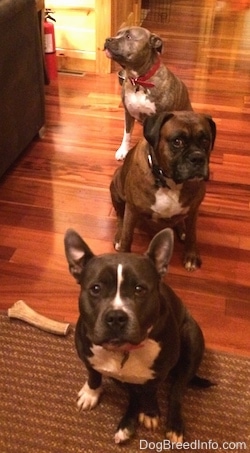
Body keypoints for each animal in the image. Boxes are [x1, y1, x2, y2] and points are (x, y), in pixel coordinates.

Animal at [64, 228, 211, 444]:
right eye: (96, 288)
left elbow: (150, 393)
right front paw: (91, 393)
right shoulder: (87, 357)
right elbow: (94, 375)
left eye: (139, 289)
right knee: (134, 394)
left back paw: (173, 426)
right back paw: (126, 426)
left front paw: (150, 412)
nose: (116, 317)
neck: (123, 350)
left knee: (177, 390)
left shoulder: (158, 374)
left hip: (192, 339)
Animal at [103, 26, 191, 160]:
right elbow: (127, 134)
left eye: (128, 37)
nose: (108, 39)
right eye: (117, 33)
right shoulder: (128, 113)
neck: (139, 80)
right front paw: (123, 150)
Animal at [110, 111, 216, 270]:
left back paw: (182, 229)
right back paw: (119, 236)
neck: (169, 182)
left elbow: (192, 234)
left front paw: (190, 255)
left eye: (205, 140)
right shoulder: (132, 209)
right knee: (120, 215)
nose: (197, 157)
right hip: (116, 186)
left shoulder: (193, 210)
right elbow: (128, 236)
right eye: (177, 141)